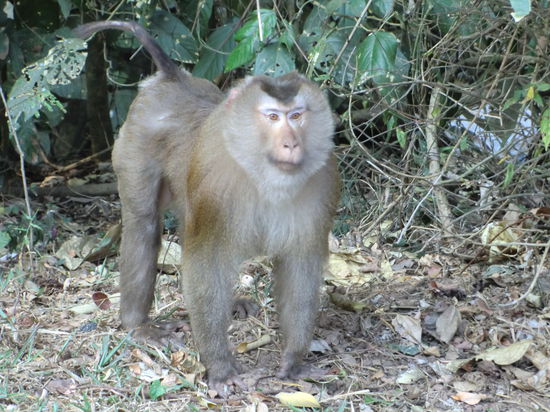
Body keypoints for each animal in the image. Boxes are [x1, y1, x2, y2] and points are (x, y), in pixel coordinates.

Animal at [73, 21, 340, 390]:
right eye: (273, 117)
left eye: (297, 116)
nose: (291, 143)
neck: (263, 176)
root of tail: (174, 78)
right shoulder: (216, 185)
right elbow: (206, 263)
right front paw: (221, 368)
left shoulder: (321, 182)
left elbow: (301, 265)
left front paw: (294, 360)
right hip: (135, 143)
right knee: (144, 223)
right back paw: (138, 325)